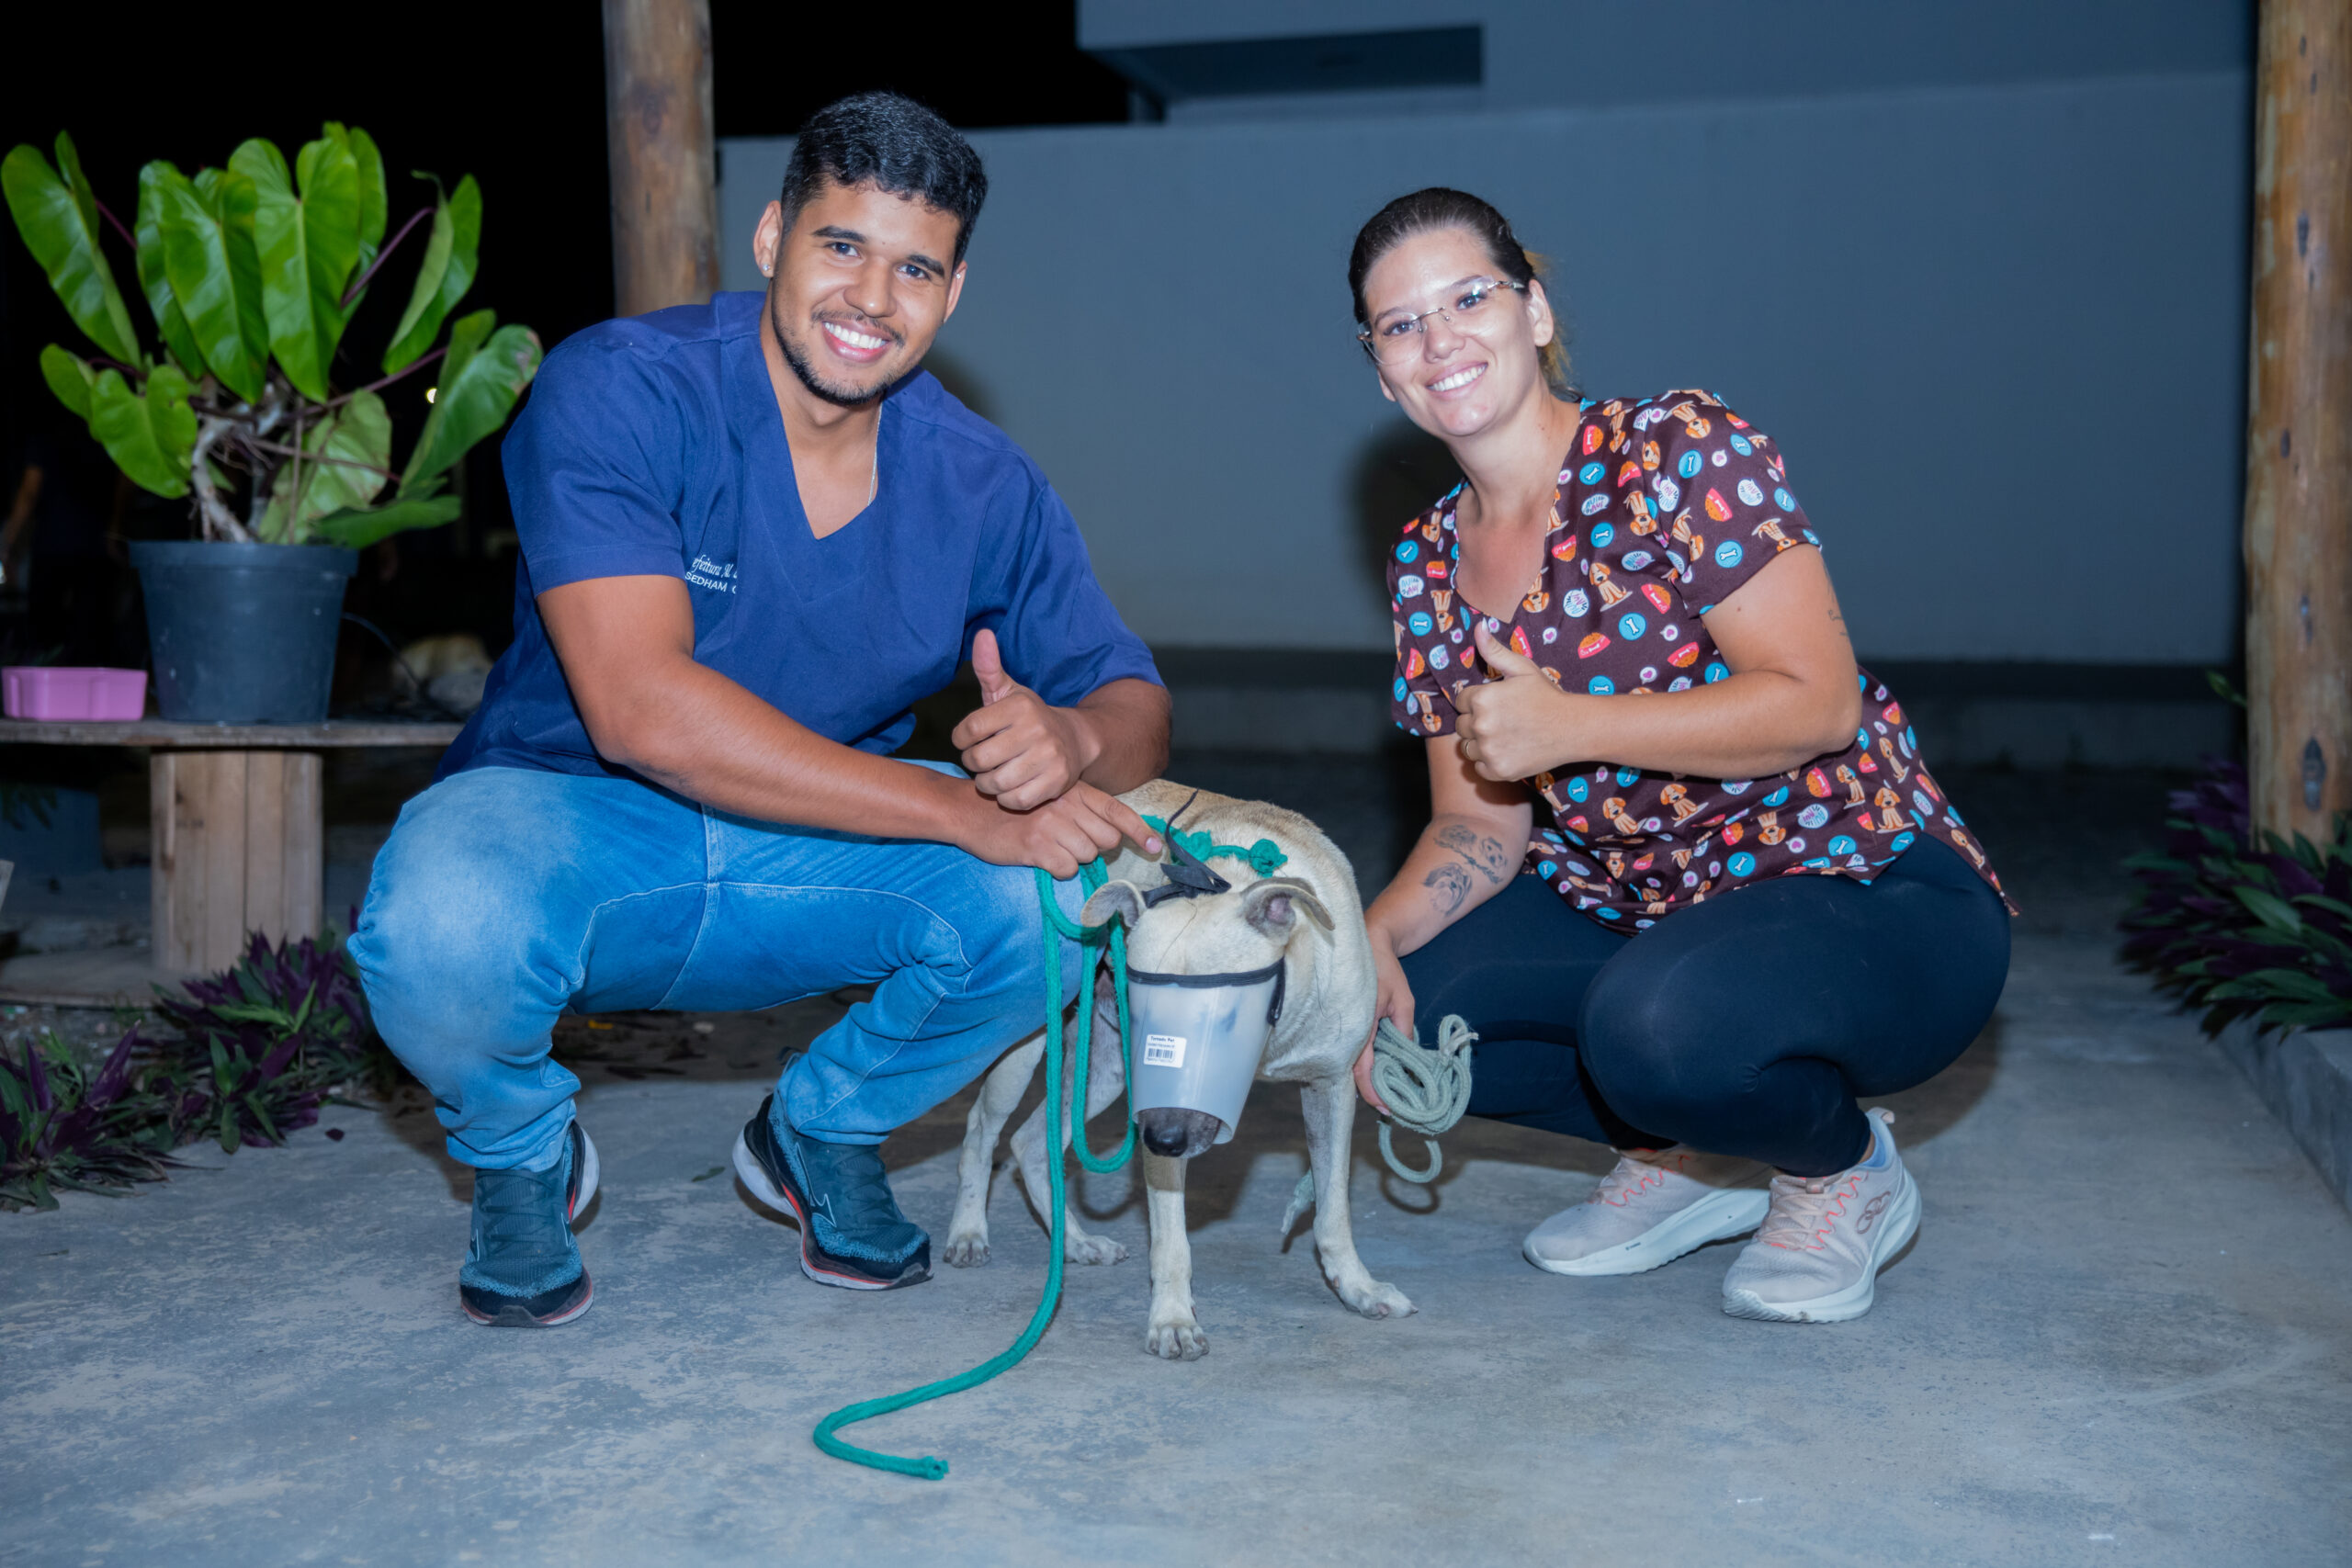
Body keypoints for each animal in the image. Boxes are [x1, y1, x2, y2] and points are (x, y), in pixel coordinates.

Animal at [942, 780, 1413, 1359]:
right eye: (1143, 1009)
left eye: (1224, 1017)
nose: (1159, 1138)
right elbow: (1171, 1240)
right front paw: (1171, 1319)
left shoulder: (1331, 1088)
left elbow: (1333, 1209)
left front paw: (1358, 1289)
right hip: (1028, 1050)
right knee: (981, 1133)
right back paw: (968, 1232)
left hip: (1103, 1072)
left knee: (1030, 1142)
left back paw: (1075, 1243)